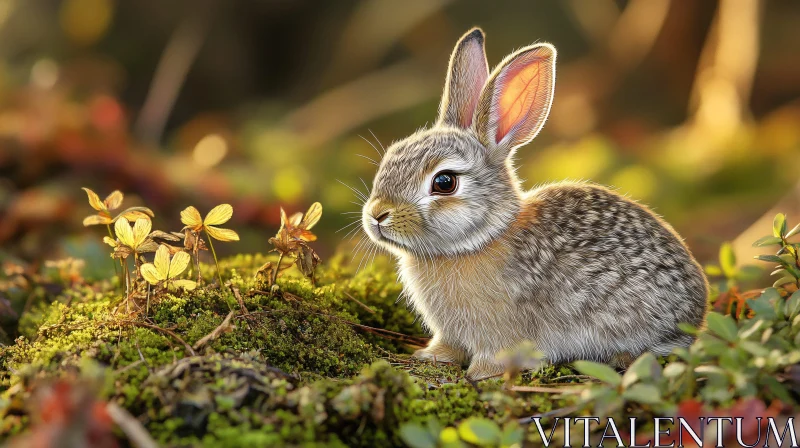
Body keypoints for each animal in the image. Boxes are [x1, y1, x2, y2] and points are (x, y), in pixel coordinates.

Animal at [360, 28, 708, 380]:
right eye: (392, 153)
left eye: (444, 182)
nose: (377, 215)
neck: (477, 242)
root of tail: (699, 310)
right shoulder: (451, 332)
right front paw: (430, 355)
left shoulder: (500, 332)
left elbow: (495, 355)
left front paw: (480, 373)